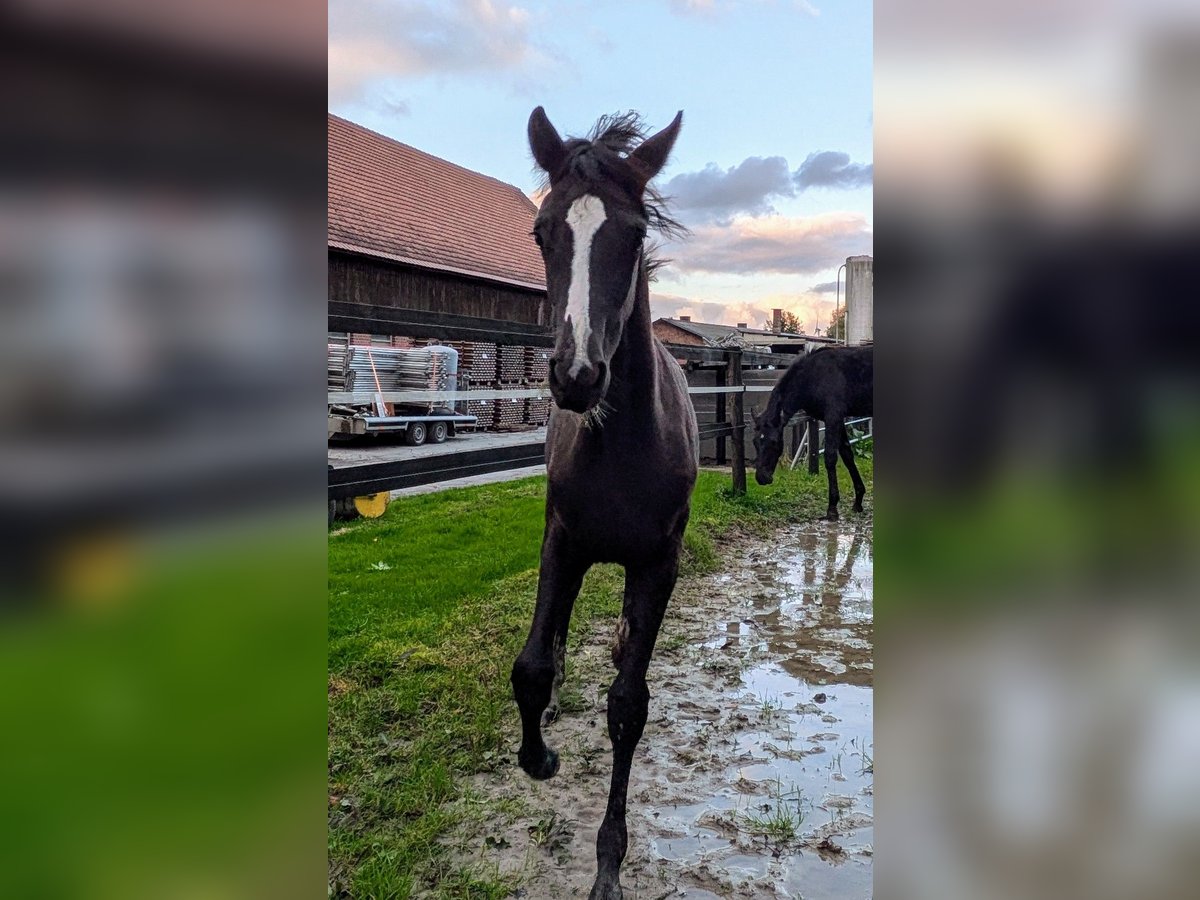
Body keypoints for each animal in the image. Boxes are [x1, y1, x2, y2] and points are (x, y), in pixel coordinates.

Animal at [748, 348, 873, 520]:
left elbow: (830, 457)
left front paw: (832, 508)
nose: (762, 478)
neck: (813, 376)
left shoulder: (833, 417)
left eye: (773, 442)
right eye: (755, 442)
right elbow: (847, 455)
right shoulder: (839, 420)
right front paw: (858, 501)